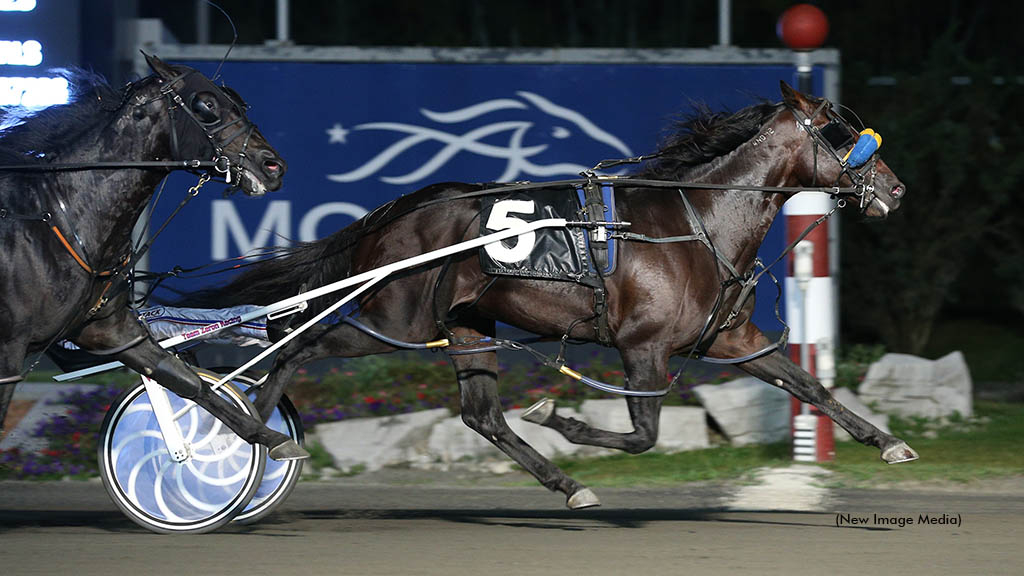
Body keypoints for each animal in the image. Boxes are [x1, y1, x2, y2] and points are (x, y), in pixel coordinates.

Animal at [0, 52, 305, 457]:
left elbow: (185, 379)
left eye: (239, 103)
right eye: (206, 105)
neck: (55, 215)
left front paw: (270, 437)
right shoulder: (9, 352)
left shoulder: (108, 330)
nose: (273, 166)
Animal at [180, 83, 917, 504]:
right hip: (397, 318)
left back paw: (568, 486)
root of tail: (397, 210)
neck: (698, 222)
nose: (894, 187)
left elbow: (811, 386)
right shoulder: (642, 347)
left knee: (482, 417)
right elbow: (643, 434)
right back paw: (255, 433)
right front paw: (558, 416)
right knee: (294, 342)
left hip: (466, 324)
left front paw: (888, 444)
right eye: (844, 137)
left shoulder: (732, 338)